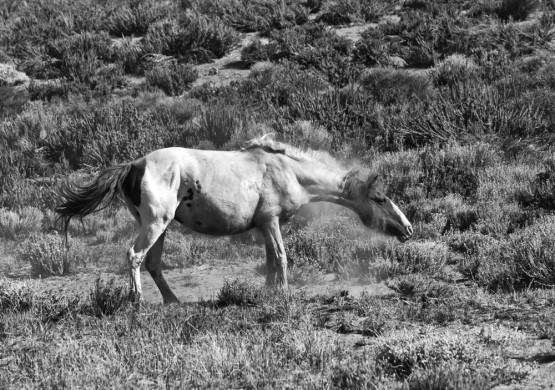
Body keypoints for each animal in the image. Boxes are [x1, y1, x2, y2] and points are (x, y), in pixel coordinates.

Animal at [56, 136, 412, 304]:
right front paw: (284, 295)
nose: (408, 229)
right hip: (155, 224)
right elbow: (282, 257)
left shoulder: (266, 225)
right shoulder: (272, 222)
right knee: (135, 256)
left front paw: (269, 292)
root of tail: (134, 164)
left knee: (153, 263)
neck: (288, 171)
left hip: (160, 226)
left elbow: (270, 260)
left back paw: (173, 301)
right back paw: (138, 301)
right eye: (380, 199)